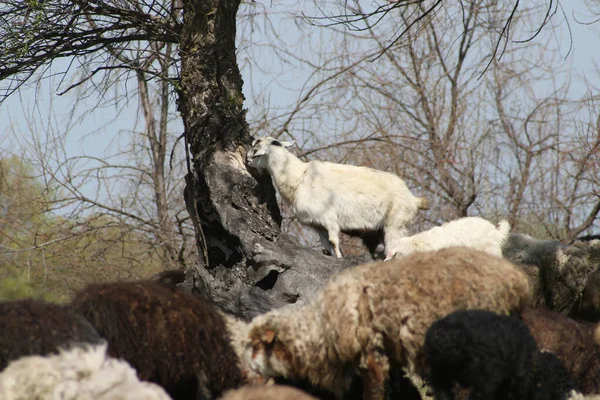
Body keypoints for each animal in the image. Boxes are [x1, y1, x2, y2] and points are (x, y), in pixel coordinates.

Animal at [246, 136, 428, 258]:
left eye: (256, 153)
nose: (246, 160)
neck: (299, 178)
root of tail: (414, 199)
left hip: (396, 222)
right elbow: (325, 249)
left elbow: (334, 242)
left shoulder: (330, 218)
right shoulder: (316, 224)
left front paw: (340, 258)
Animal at [424, 310, 576, 400]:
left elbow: (486, 384)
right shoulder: (439, 369)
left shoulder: (489, 369)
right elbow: (441, 386)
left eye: (457, 347)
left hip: (520, 372)